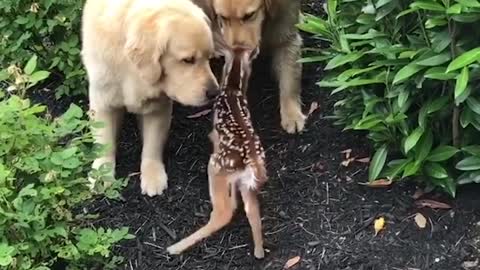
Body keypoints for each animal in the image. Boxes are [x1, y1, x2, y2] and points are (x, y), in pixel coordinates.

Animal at [81, 0, 219, 196]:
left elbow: (152, 145)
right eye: (188, 60)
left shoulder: (158, 106)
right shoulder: (102, 100)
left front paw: (153, 176)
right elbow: (104, 141)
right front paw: (102, 174)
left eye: (208, 58)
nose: (215, 93)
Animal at [168, 47, 266, 258]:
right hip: (247, 183)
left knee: (224, 212)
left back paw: (175, 247)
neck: (232, 87)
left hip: (216, 168)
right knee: (252, 211)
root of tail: (252, 163)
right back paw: (259, 252)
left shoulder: (214, 134)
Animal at [193, 0, 306, 134]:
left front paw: (292, 114)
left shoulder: (286, 34)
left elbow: (289, 81)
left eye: (249, 15)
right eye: (223, 17)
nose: (236, 49)